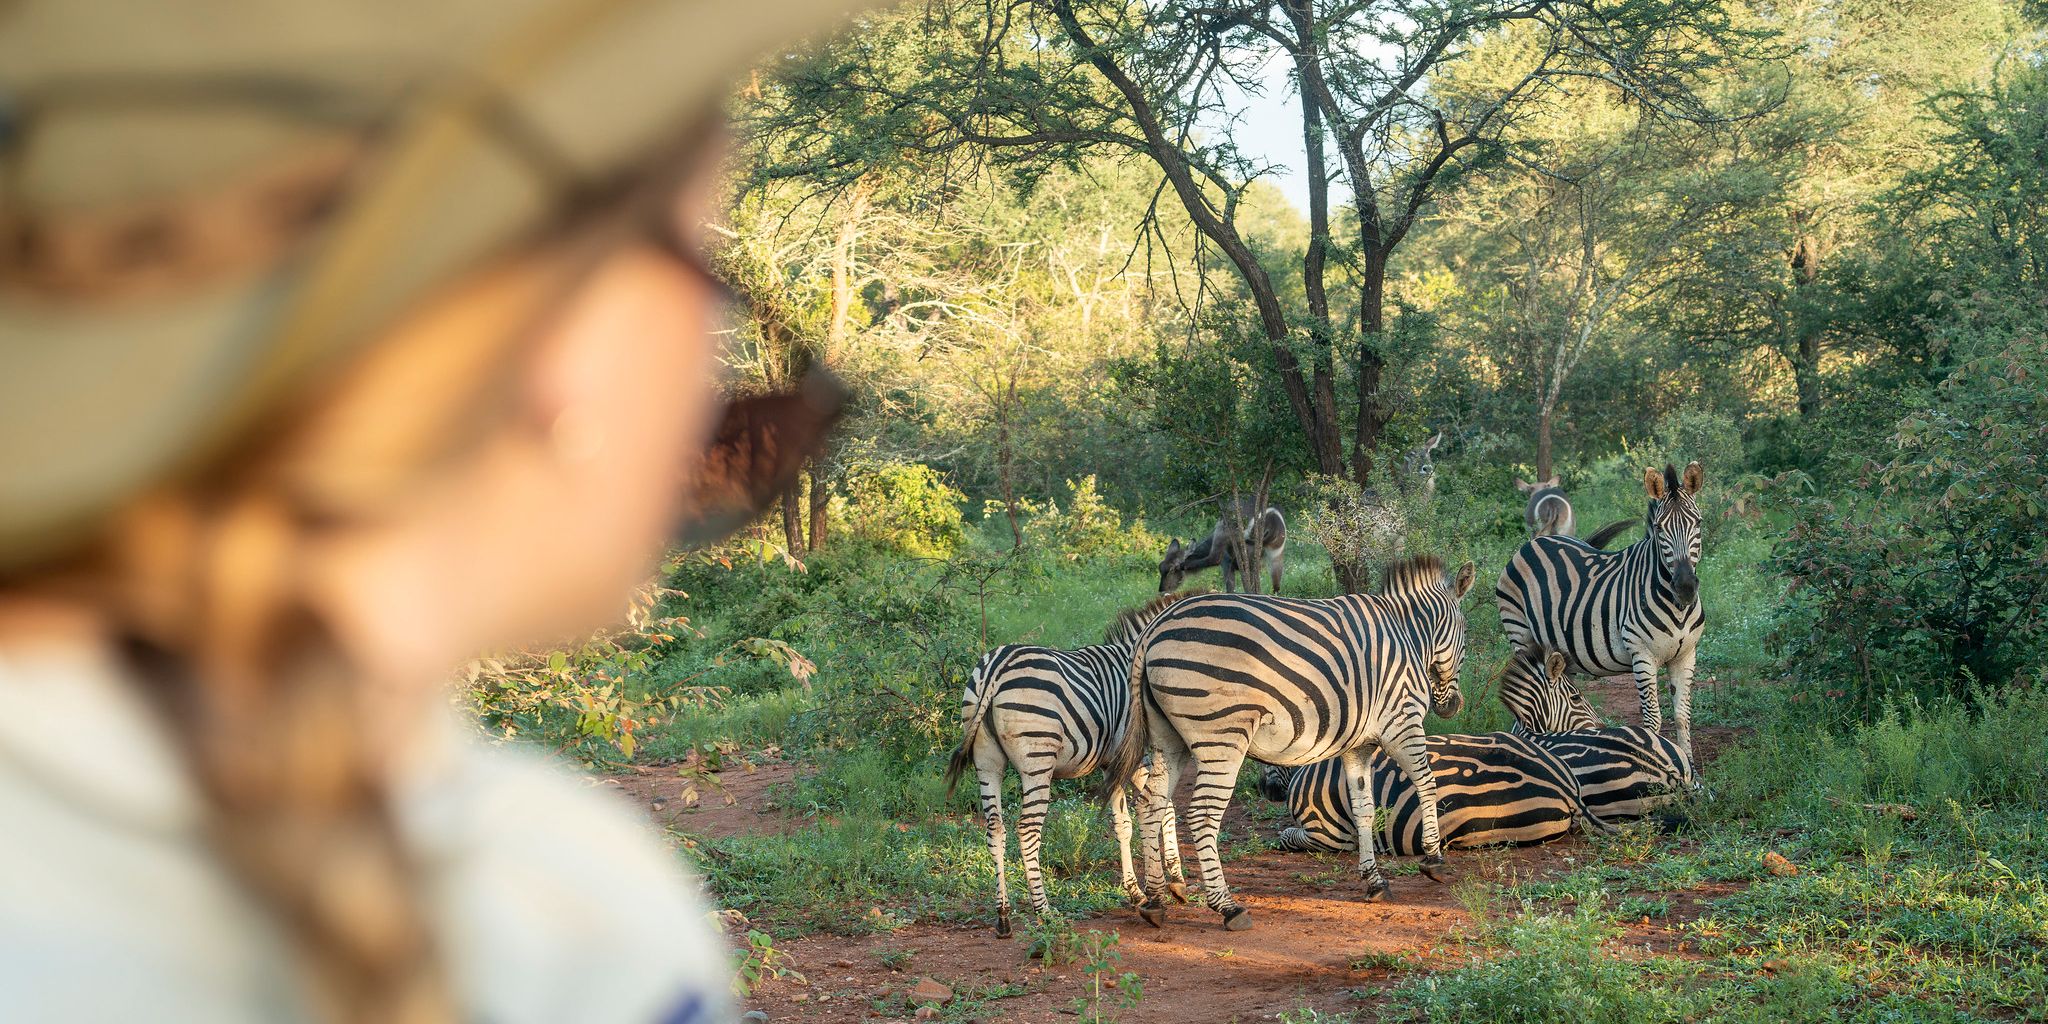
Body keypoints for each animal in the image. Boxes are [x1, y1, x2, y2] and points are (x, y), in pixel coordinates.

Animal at [943, 591, 1200, 937]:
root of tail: (996, 667)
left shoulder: (1112, 763)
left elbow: (1123, 824)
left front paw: (1136, 892)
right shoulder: (1135, 757)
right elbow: (1165, 808)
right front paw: (1175, 882)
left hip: (986, 761)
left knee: (995, 828)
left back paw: (1003, 917)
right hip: (1037, 760)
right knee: (1027, 829)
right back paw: (1044, 911)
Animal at [1101, 555, 1477, 931]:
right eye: (1464, 634)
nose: (1453, 706)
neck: (1408, 634)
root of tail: (1152, 631)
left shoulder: (1358, 746)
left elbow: (1364, 809)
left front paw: (1374, 882)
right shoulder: (1402, 721)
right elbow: (1426, 784)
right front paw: (1433, 860)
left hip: (1168, 739)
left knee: (1151, 804)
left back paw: (1155, 901)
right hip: (1222, 738)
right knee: (1202, 813)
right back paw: (1227, 906)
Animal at [1496, 462, 1706, 762]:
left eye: (1698, 522)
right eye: (1659, 527)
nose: (1686, 586)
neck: (1676, 607)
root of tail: (1537, 541)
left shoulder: (1686, 655)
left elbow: (1681, 716)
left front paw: (1690, 765)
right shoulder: (1642, 655)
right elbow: (1653, 719)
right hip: (1519, 633)